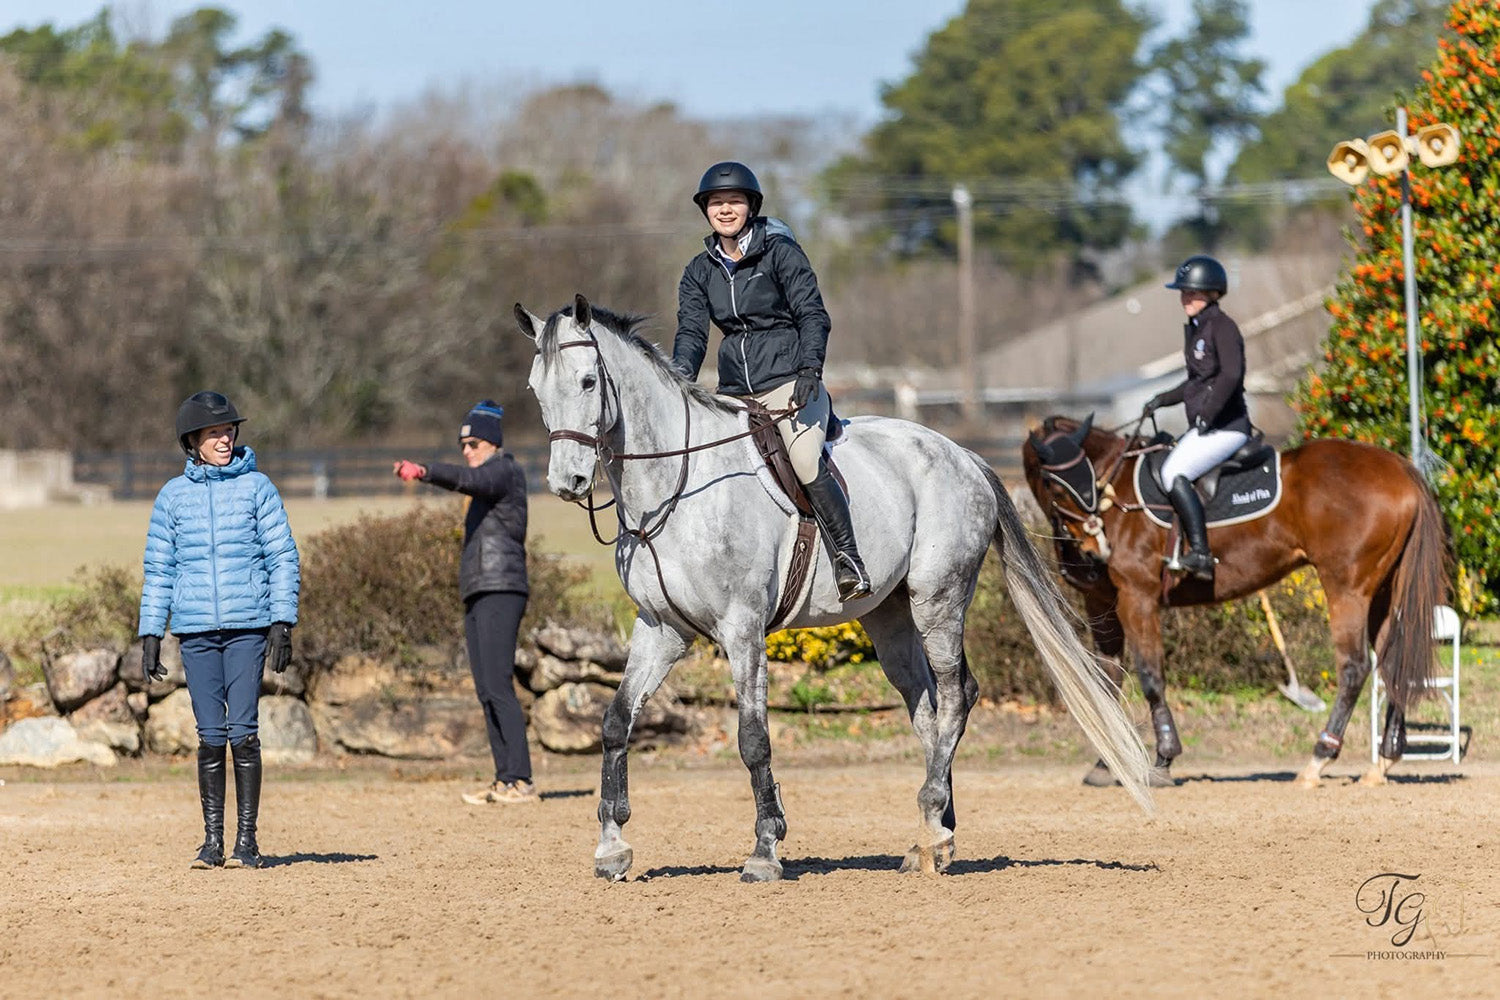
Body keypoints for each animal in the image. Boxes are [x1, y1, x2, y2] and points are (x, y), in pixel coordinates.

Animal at [515, 295, 1154, 883]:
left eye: (588, 380)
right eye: (535, 389)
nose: (567, 482)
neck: (675, 486)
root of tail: (963, 454)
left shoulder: (742, 627)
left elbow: (753, 738)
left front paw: (765, 849)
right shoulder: (662, 629)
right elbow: (615, 721)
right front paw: (612, 847)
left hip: (937, 599)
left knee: (956, 695)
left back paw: (932, 828)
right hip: (888, 616)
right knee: (927, 709)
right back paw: (935, 832)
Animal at [1022, 414, 1449, 788]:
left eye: (1086, 481)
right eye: (1054, 484)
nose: (1096, 550)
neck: (1116, 493)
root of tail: (1400, 467)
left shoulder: (1136, 597)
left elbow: (1150, 677)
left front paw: (1163, 759)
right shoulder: (1102, 604)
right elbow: (1106, 682)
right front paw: (1106, 764)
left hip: (1347, 588)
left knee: (1355, 667)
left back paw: (1318, 759)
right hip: (1384, 590)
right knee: (1393, 661)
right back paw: (1382, 763)